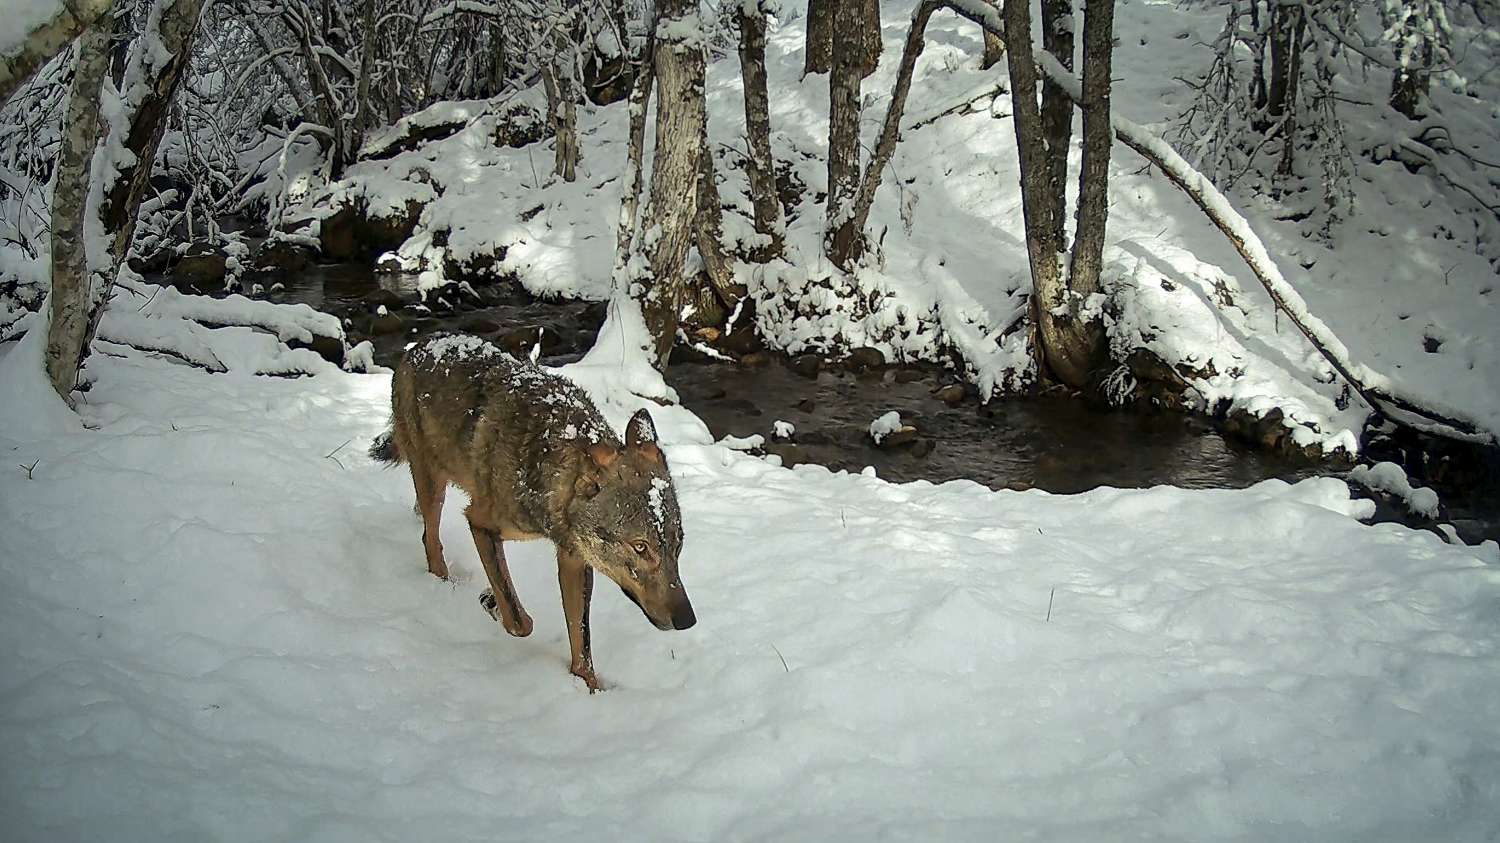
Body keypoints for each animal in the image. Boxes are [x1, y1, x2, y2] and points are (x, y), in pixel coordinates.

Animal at [371, 333, 695, 691]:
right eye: (640, 547)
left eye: (678, 544)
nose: (688, 621)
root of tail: (420, 345)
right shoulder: (480, 523)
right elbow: (519, 621)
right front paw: (492, 603)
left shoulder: (575, 559)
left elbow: (582, 641)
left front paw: (592, 690)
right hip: (434, 484)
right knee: (430, 539)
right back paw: (445, 582)